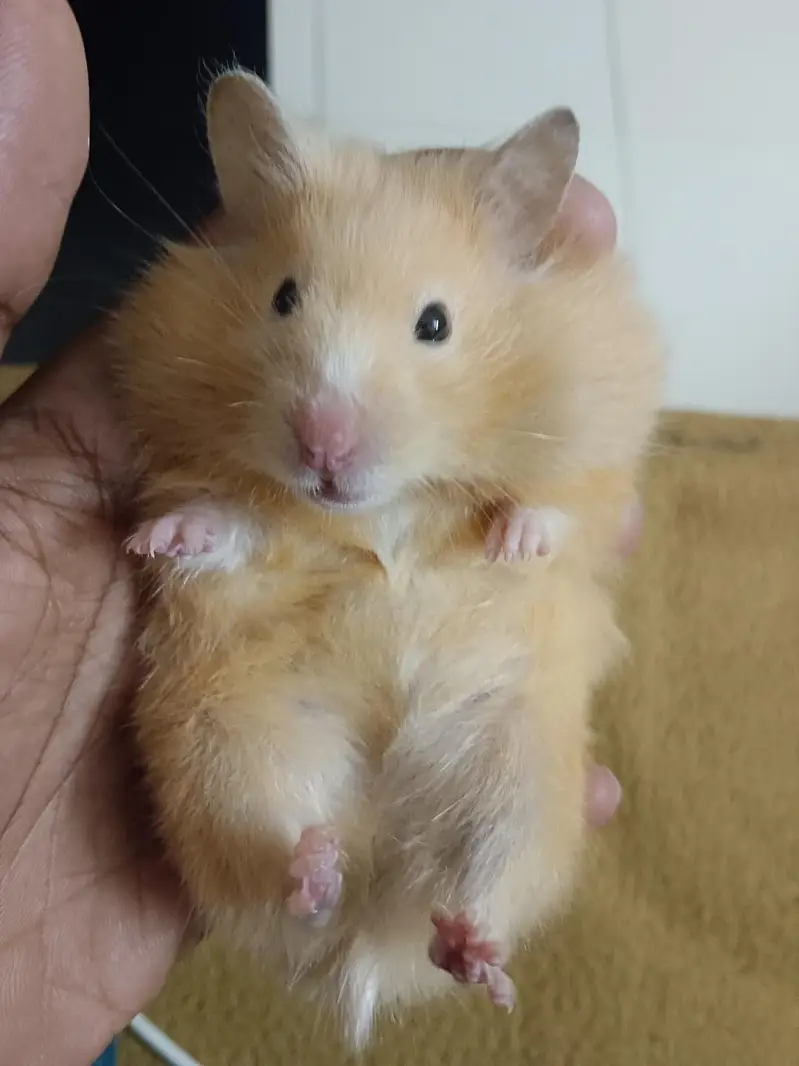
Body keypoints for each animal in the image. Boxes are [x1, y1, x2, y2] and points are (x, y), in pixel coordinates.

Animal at [111, 70, 662, 1048]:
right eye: (283, 297)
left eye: (434, 324)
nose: (321, 445)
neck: (383, 509)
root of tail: (369, 934)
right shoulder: (238, 502)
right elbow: (227, 520)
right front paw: (158, 538)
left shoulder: (602, 431)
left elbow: (557, 506)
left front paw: (510, 539)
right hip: (222, 744)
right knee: (278, 869)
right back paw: (318, 869)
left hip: (518, 773)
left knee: (477, 889)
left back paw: (475, 957)